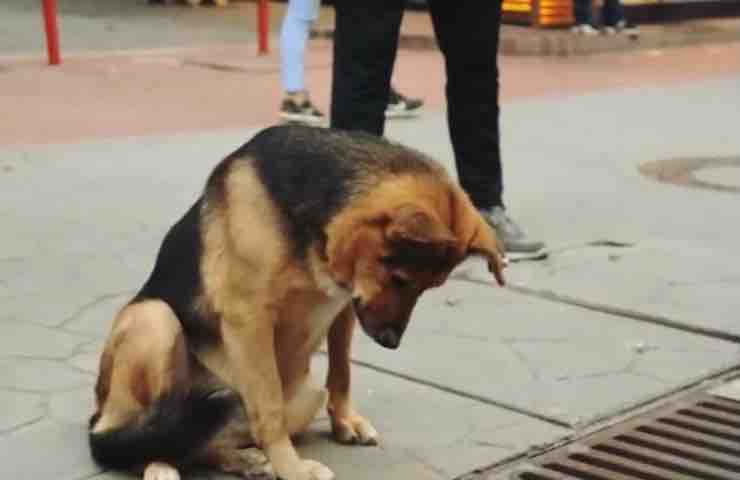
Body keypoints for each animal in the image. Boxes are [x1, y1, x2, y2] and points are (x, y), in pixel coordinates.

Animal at [88, 125, 506, 480]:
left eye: (429, 287)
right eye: (401, 278)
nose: (390, 342)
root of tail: (98, 414)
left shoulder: (344, 306)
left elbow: (341, 371)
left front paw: (345, 421)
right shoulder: (249, 318)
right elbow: (269, 407)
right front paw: (292, 468)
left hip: (304, 396)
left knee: (202, 442)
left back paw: (244, 459)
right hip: (154, 319)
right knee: (143, 437)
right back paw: (159, 463)